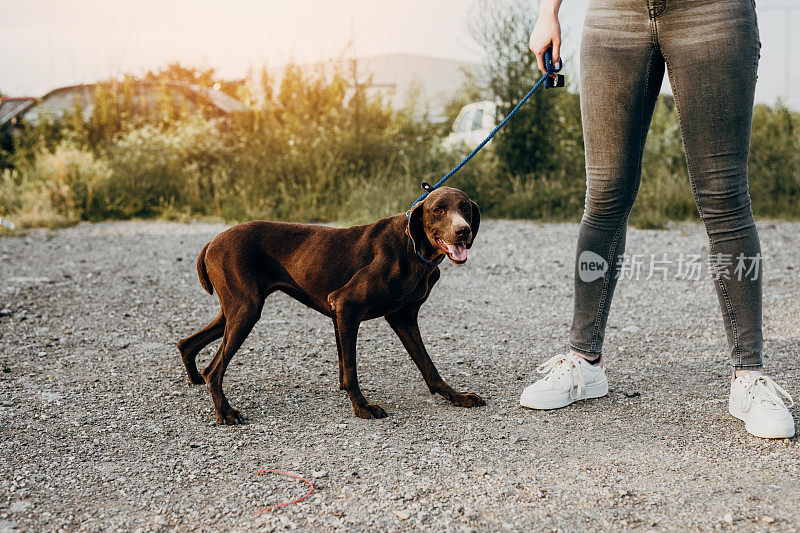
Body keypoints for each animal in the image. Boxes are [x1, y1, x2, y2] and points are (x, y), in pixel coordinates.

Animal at [178, 185, 484, 422]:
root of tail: (212, 242)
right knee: (213, 369)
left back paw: (195, 379)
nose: (463, 231)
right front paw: (362, 407)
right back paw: (225, 412)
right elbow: (350, 370)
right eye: (438, 210)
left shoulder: (402, 317)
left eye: (465, 208)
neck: (412, 248)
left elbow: (428, 367)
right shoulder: (346, 307)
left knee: (187, 343)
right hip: (246, 311)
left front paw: (456, 396)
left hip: (234, 311)